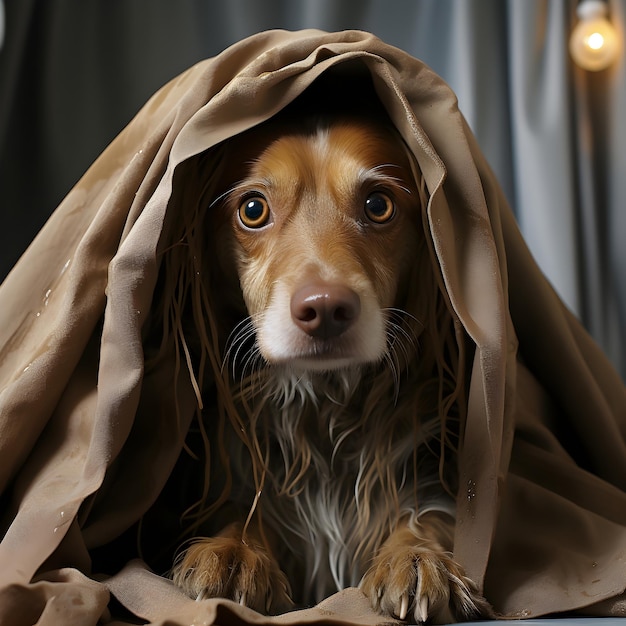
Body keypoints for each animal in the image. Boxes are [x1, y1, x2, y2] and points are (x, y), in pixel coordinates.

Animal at [167, 80, 492, 620]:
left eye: (378, 205)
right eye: (252, 210)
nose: (325, 309)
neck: (325, 411)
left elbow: (423, 516)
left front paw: (417, 559)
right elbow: (241, 511)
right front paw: (234, 554)